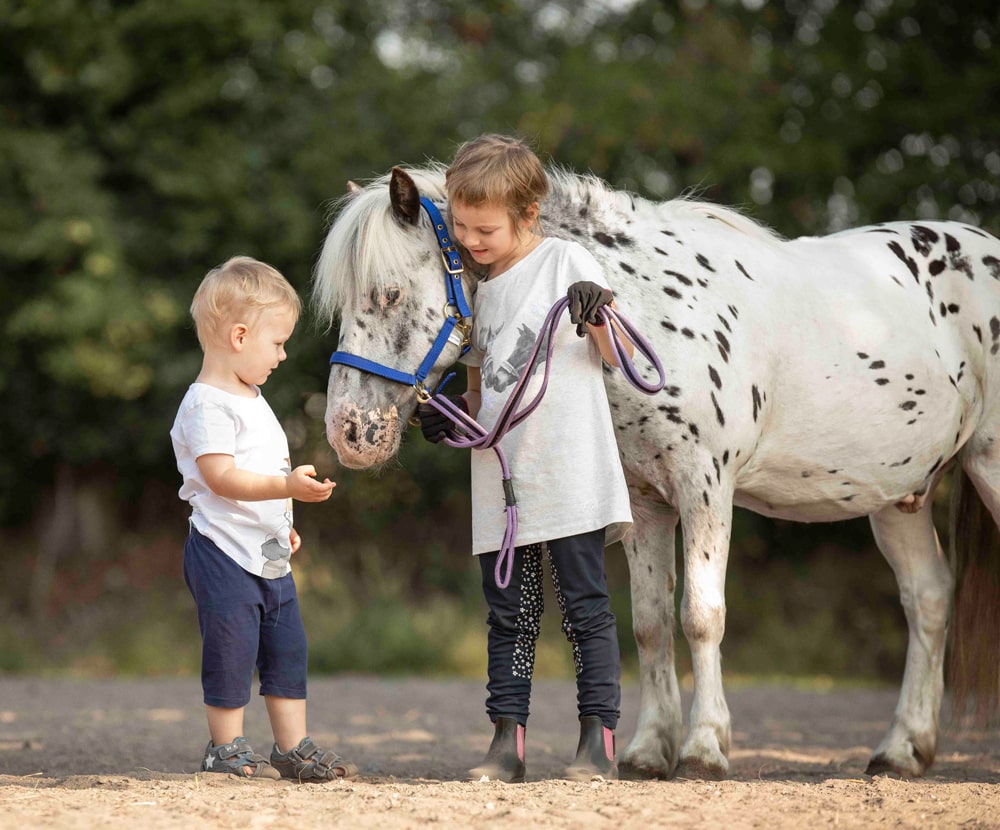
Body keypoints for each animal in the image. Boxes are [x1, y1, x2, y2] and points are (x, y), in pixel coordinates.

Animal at [312, 164, 1000, 780]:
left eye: (389, 293)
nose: (349, 432)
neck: (646, 315)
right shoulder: (645, 503)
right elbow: (648, 626)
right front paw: (646, 753)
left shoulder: (705, 489)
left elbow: (700, 615)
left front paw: (703, 750)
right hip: (900, 496)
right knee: (927, 599)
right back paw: (902, 751)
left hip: (985, 467)